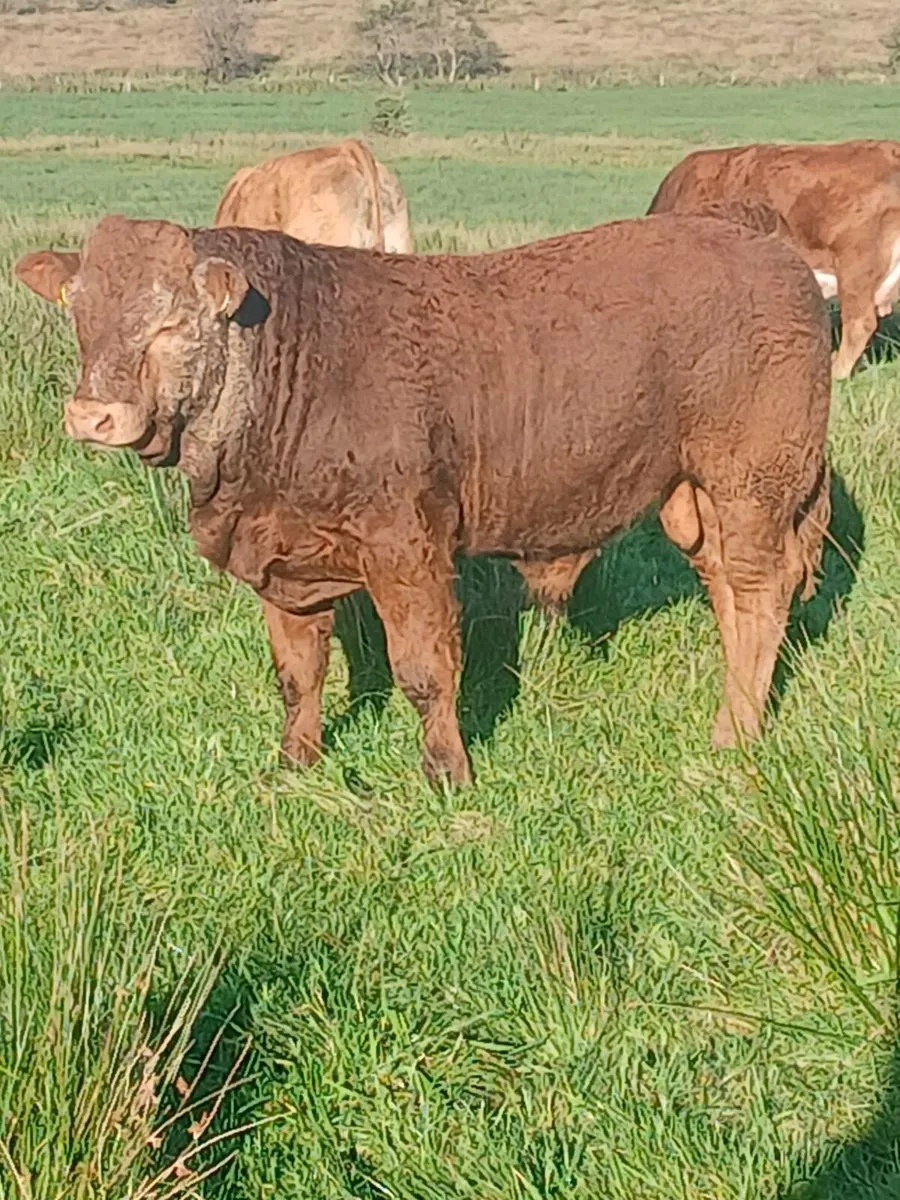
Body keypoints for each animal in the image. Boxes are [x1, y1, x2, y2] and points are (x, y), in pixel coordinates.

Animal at [14, 213, 831, 785]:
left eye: (170, 323)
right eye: (79, 312)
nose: (92, 416)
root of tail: (782, 261)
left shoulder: (408, 552)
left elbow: (424, 672)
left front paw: (447, 774)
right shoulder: (284, 560)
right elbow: (296, 674)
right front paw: (295, 761)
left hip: (752, 483)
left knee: (761, 595)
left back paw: (733, 733)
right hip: (695, 499)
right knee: (730, 595)